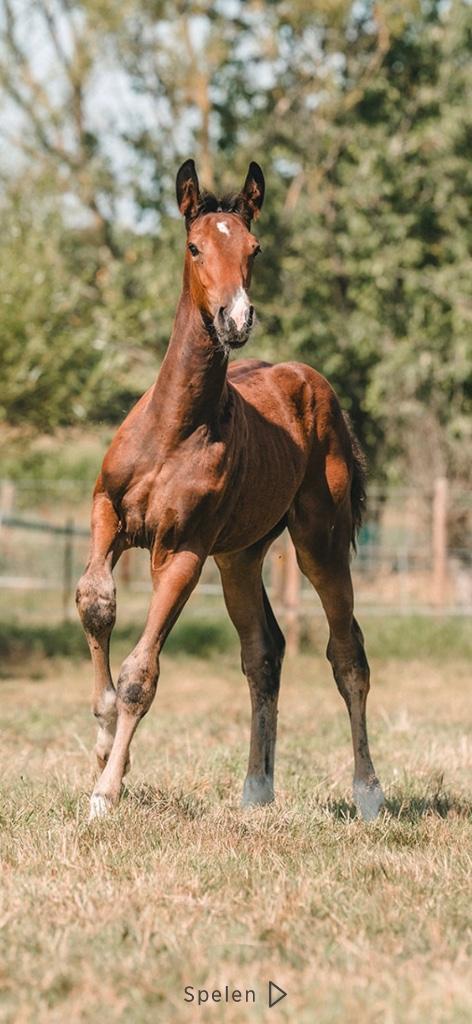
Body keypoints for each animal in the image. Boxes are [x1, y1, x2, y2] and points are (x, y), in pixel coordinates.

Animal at [76, 158, 385, 822]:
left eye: (254, 248)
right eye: (195, 246)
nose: (235, 320)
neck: (175, 427)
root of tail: (316, 386)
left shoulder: (183, 551)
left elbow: (142, 673)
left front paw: (106, 792)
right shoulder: (107, 513)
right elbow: (95, 602)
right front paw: (104, 741)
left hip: (318, 542)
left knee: (347, 653)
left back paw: (369, 792)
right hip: (240, 556)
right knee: (262, 654)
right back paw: (257, 789)